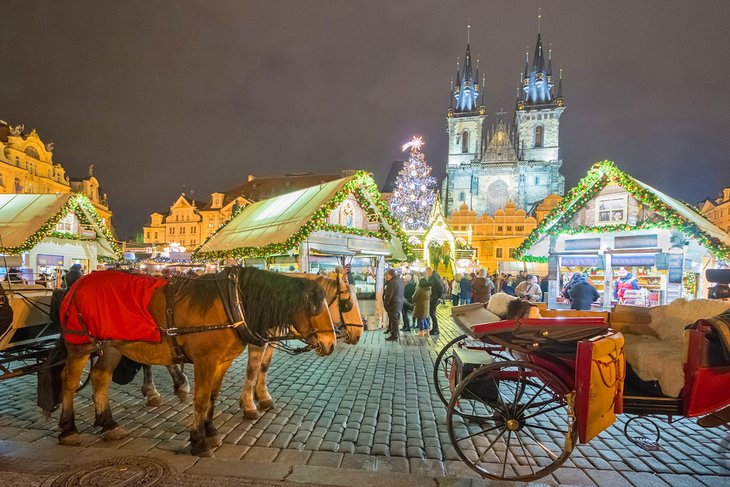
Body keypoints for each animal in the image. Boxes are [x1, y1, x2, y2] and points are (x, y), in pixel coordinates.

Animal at [57, 266, 336, 458]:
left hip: (111, 348)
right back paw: (68, 429)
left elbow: (212, 396)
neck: (232, 303)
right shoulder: (205, 361)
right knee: (69, 382)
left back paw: (109, 425)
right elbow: (200, 400)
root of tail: (78, 284)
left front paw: (210, 431)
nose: (331, 343)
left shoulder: (222, 361)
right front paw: (199, 441)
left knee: (100, 379)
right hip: (81, 347)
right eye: (314, 306)